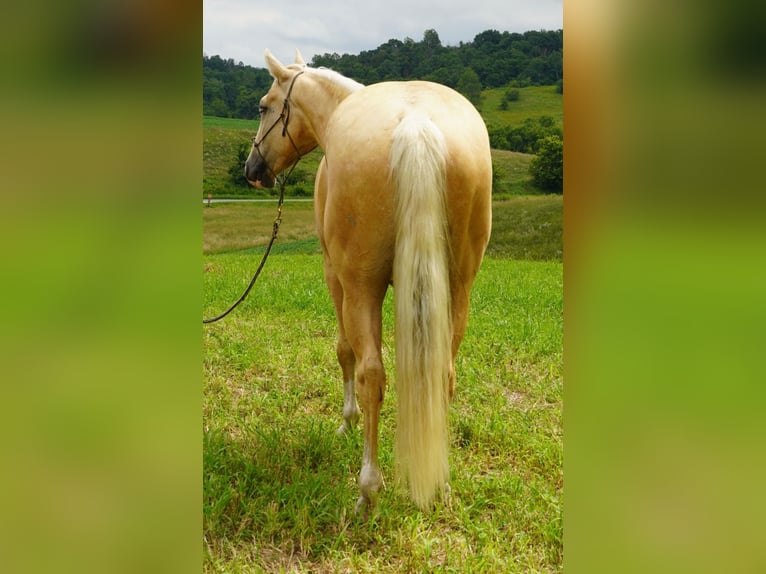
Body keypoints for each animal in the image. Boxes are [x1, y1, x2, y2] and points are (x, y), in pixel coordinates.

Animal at [244, 49, 492, 515]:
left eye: (264, 107)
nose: (252, 170)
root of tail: (416, 124)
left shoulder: (334, 274)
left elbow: (344, 351)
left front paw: (347, 422)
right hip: (458, 290)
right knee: (444, 374)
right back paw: (442, 483)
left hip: (361, 287)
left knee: (371, 375)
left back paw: (368, 488)